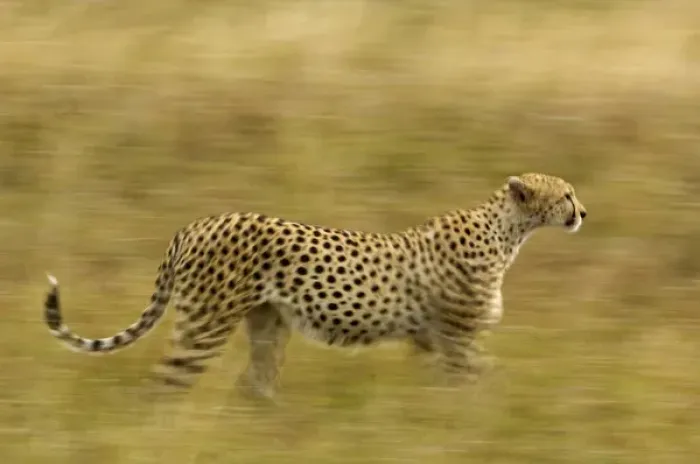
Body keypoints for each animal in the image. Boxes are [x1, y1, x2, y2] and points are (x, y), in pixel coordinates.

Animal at [43, 172, 587, 398]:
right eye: (566, 194)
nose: (584, 212)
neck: (509, 229)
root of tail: (196, 223)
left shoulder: (432, 341)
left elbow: (455, 386)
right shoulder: (458, 340)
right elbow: (486, 381)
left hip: (267, 324)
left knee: (253, 385)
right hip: (206, 324)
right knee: (165, 384)